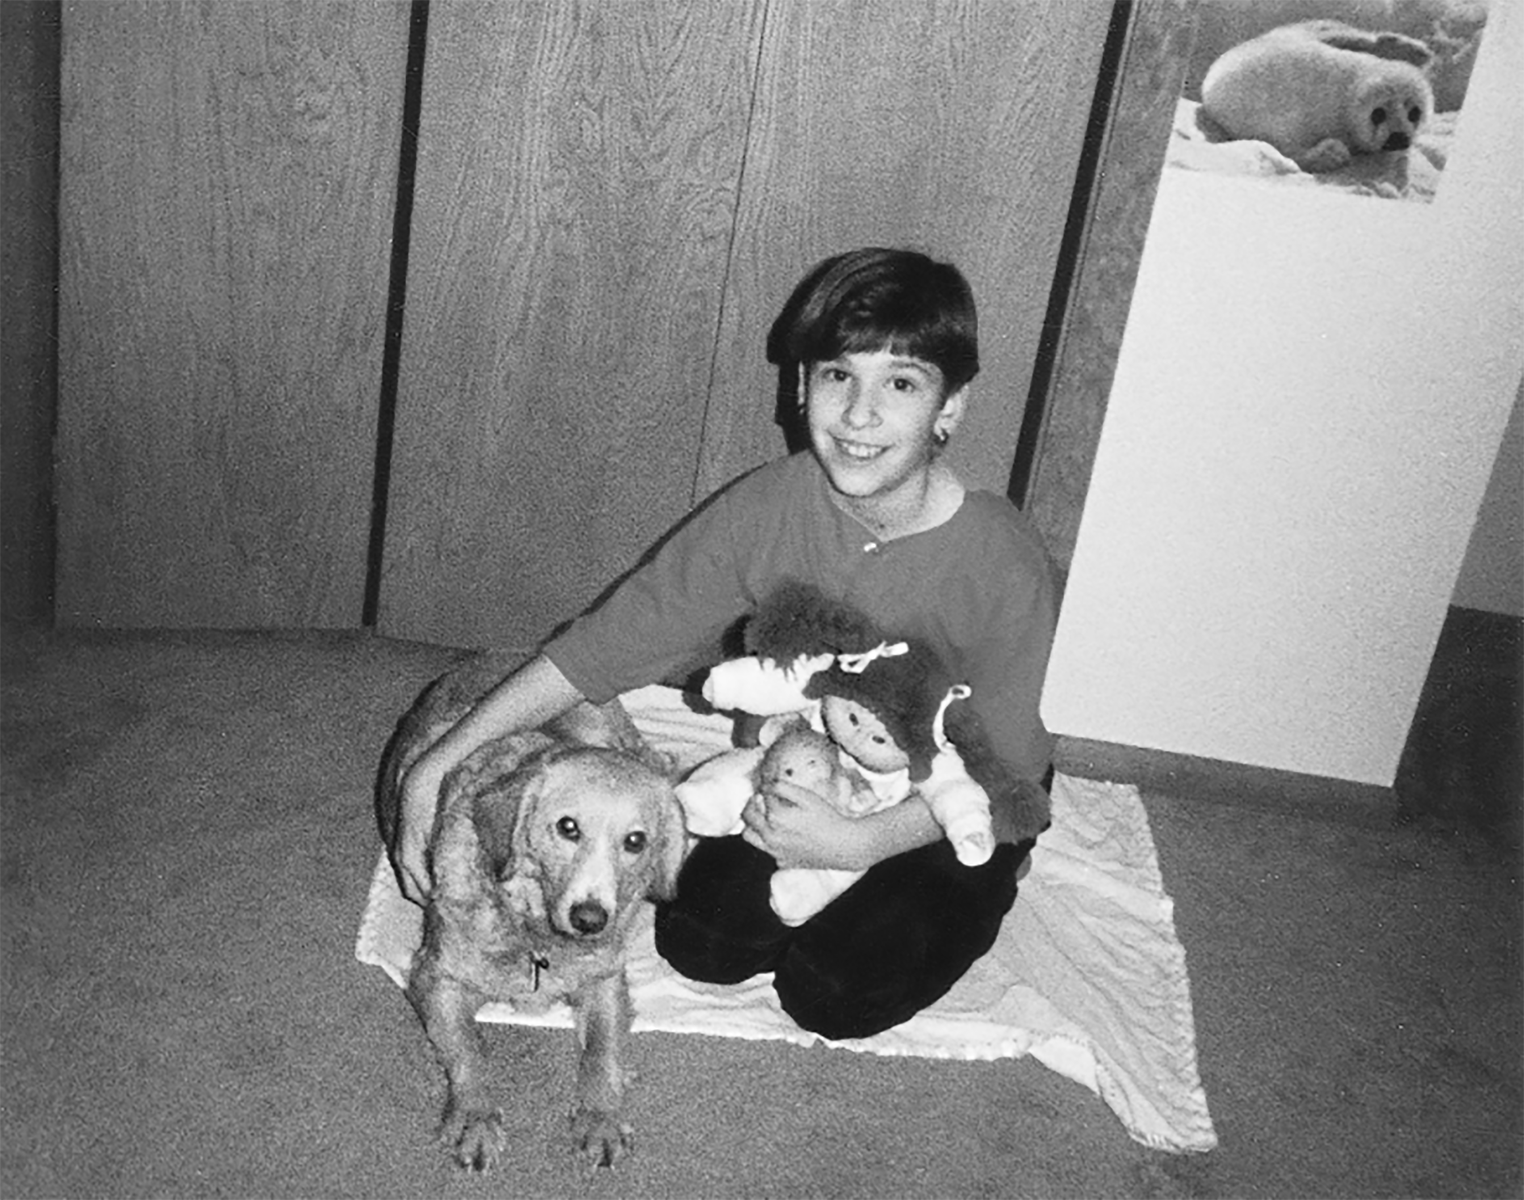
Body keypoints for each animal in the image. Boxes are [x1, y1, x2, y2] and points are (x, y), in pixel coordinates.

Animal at [377, 655, 688, 1171]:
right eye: (567, 827)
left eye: (635, 841)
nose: (590, 919)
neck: (533, 933)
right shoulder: (433, 978)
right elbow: (468, 1050)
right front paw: (475, 1117)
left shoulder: (605, 980)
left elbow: (602, 1050)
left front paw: (600, 1115)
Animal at [1194, 21, 1432, 174]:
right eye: (1378, 114)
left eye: (1415, 113)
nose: (1398, 137)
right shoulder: (1278, 129)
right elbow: (1290, 151)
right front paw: (1332, 153)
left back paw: (1415, 50)